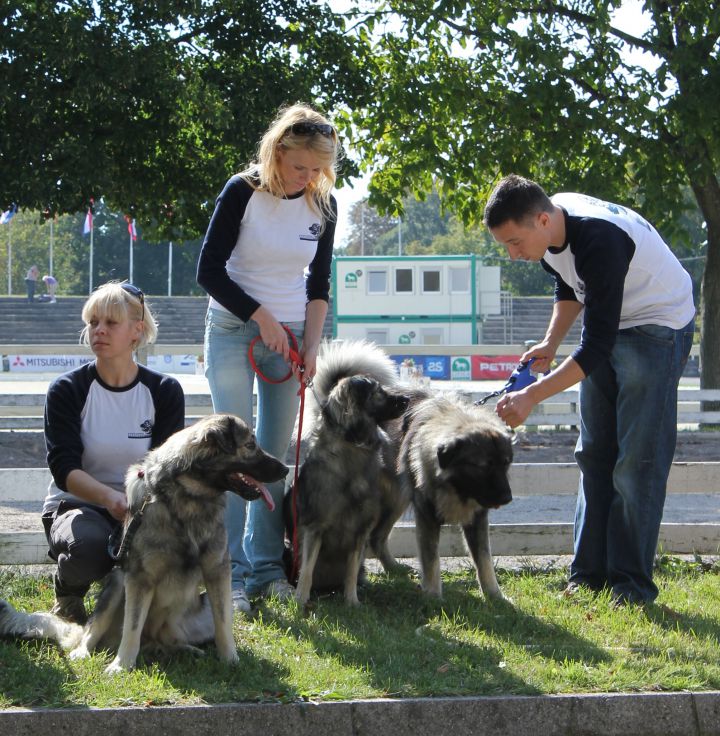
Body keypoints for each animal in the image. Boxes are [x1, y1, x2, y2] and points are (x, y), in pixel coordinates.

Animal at [0, 414, 286, 672]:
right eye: (250, 445)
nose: (285, 469)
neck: (189, 497)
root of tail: (154, 642)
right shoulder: (140, 579)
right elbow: (133, 626)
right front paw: (121, 665)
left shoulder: (217, 572)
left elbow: (223, 622)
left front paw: (230, 660)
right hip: (117, 586)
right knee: (94, 631)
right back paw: (83, 652)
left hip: (198, 608)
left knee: (173, 638)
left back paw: (187, 650)